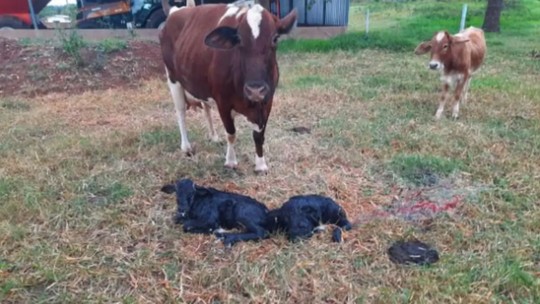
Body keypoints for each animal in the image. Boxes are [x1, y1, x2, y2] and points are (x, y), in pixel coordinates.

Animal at [158, 0, 298, 172]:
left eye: (275, 38)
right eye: (239, 40)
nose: (255, 90)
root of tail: (176, 10)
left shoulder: (267, 100)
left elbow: (259, 135)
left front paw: (260, 164)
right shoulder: (223, 102)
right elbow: (231, 133)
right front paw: (231, 161)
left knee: (206, 108)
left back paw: (213, 136)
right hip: (173, 79)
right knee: (180, 112)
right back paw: (186, 147)